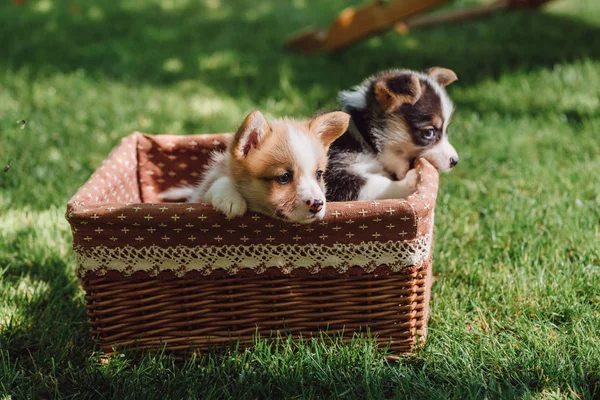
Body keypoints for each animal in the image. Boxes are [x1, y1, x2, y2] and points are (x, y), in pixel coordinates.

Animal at [159, 110, 350, 222]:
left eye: (318, 174)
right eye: (284, 177)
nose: (318, 204)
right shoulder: (201, 195)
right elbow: (220, 182)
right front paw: (231, 200)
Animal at [324, 67, 460, 203]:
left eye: (446, 129)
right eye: (429, 132)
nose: (455, 161)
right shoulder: (335, 174)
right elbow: (372, 185)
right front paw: (411, 179)